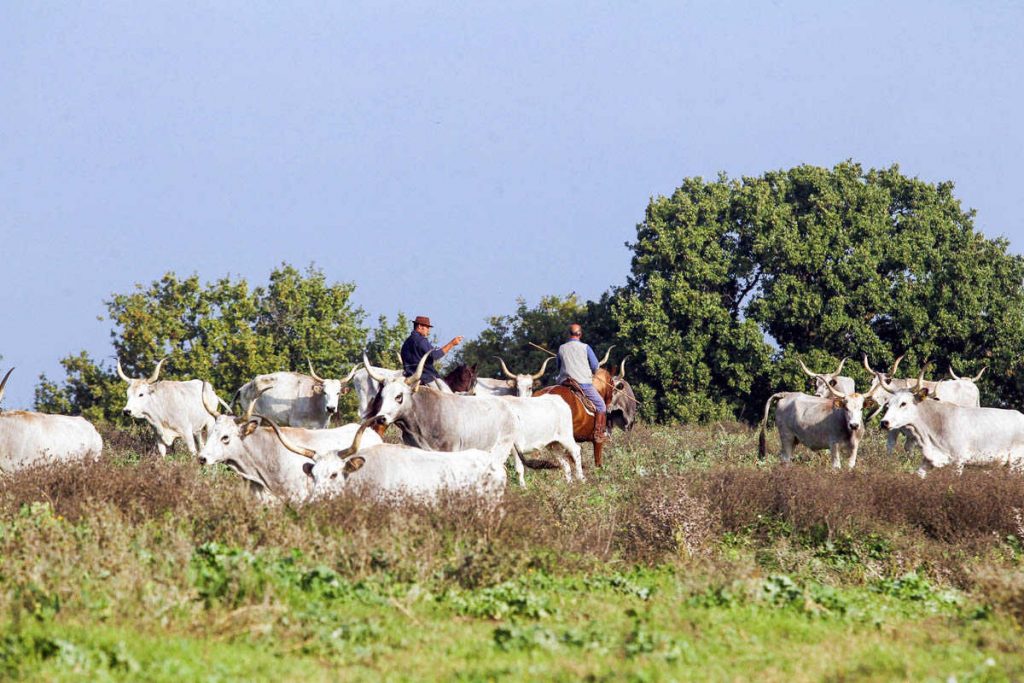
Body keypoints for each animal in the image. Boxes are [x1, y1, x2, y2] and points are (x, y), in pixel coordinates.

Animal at [234, 362, 362, 428]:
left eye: (338, 393)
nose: (331, 408)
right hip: (253, 416)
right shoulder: (296, 424)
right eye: (324, 392)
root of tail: (245, 387)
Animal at [876, 376, 1024, 479]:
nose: (884, 422)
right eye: (888, 404)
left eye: (903, 403)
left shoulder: (958, 461)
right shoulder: (928, 459)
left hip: (1016, 462)